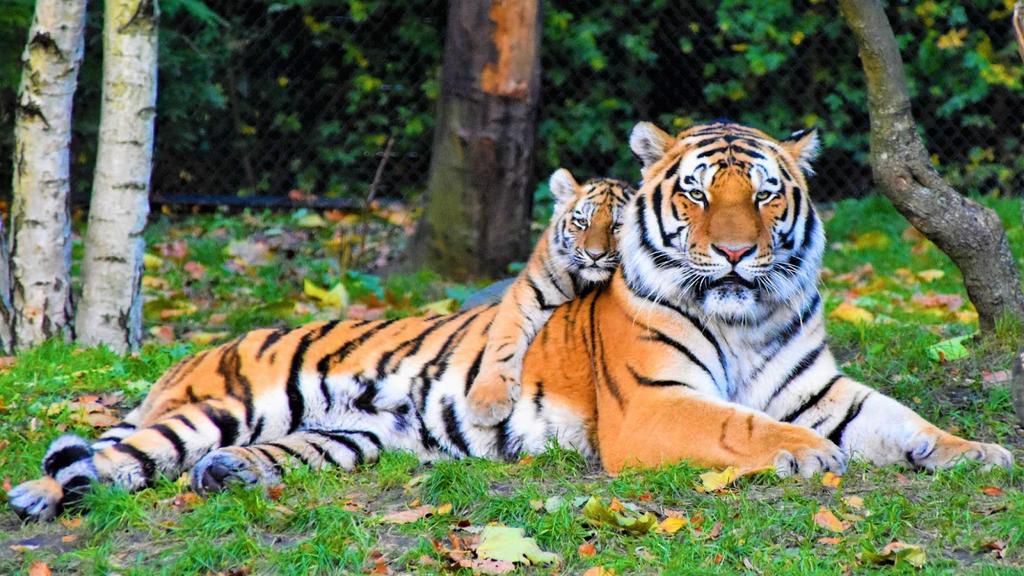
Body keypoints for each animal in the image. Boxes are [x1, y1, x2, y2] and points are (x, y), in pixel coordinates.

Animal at [465, 169, 633, 425]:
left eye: (617, 226)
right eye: (582, 222)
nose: (595, 255)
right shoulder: (525, 295)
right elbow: (503, 342)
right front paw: (487, 402)